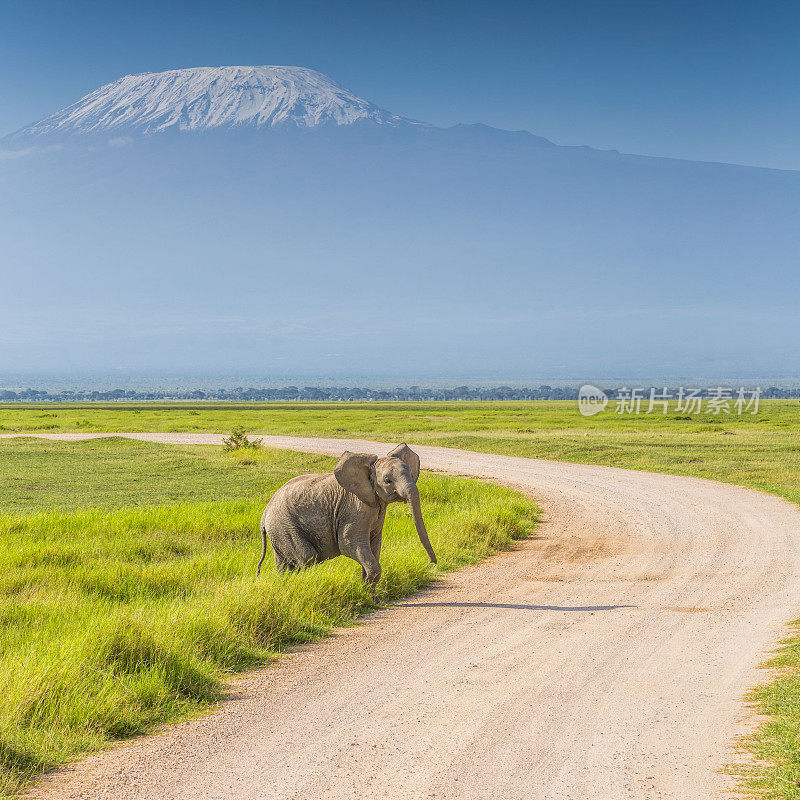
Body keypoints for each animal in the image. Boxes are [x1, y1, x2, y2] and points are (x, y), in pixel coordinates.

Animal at [260, 440, 438, 592]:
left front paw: (370, 596)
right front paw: (366, 596)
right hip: (285, 526)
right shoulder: (355, 508)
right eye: (388, 480)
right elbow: (349, 544)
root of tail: (265, 513)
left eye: (410, 472)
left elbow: (374, 547)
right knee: (307, 558)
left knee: (284, 565)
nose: (432, 563)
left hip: (279, 531)